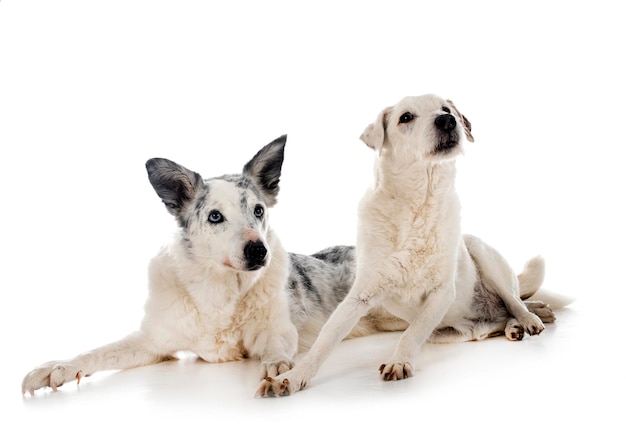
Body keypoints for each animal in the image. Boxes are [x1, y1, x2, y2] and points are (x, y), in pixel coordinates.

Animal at [20, 137, 380, 396]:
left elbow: (276, 349)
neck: (220, 290)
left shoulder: (275, 330)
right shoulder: (152, 342)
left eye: (259, 210)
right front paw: (57, 367)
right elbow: (97, 353)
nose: (258, 250)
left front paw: (280, 367)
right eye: (215, 216)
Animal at [255, 94, 564, 398]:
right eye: (405, 117)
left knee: (513, 301)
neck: (417, 202)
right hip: (452, 332)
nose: (447, 120)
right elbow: (325, 340)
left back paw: (529, 318)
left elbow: (411, 333)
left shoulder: (441, 292)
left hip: (479, 250)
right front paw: (291, 378)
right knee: (494, 321)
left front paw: (399, 361)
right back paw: (514, 325)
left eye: (446, 108)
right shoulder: (359, 297)